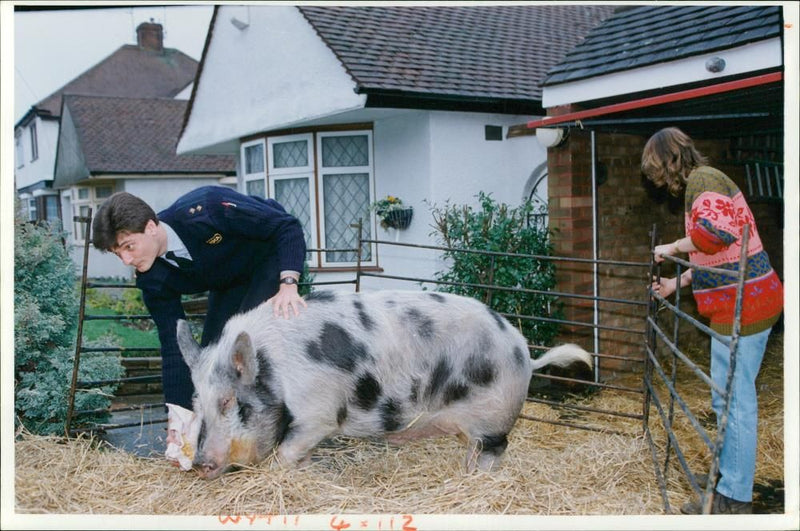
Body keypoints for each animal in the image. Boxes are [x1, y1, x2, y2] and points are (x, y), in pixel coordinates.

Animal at [180, 288, 592, 480]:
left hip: (494, 418)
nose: (199, 464)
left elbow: (286, 453)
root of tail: (522, 349)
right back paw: (464, 472)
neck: (276, 370)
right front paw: (307, 473)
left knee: (495, 450)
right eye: (197, 403)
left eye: (228, 402)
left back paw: (474, 479)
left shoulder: (317, 415)